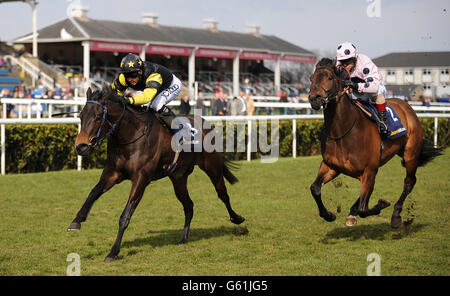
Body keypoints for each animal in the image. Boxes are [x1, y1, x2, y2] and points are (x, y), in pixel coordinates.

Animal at [67, 86, 244, 262]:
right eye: (81, 116)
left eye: (98, 117)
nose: (81, 147)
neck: (131, 135)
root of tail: (206, 123)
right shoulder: (113, 173)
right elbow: (93, 192)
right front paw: (76, 221)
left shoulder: (141, 178)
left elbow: (125, 216)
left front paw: (113, 252)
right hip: (178, 177)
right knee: (188, 205)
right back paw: (183, 238)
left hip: (212, 167)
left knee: (222, 194)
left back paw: (237, 218)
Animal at [308, 58, 442, 229]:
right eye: (311, 78)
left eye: (330, 78)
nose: (314, 98)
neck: (342, 131)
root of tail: (406, 105)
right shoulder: (332, 166)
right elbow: (315, 189)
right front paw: (329, 215)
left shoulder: (369, 170)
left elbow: (364, 209)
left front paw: (382, 204)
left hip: (410, 155)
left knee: (409, 182)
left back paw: (396, 215)